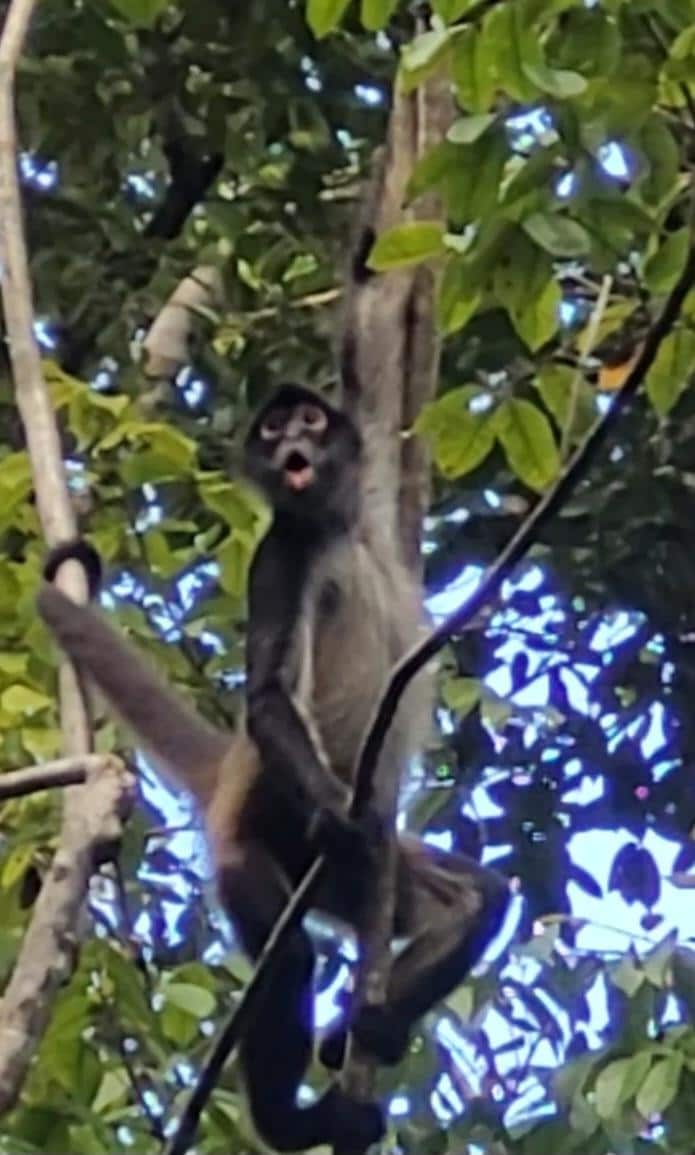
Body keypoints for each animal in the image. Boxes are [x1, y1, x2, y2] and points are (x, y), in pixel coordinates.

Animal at [37, 383, 510, 1152]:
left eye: (309, 420)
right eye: (272, 429)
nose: (292, 443)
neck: (334, 532)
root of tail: (231, 773)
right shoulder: (280, 556)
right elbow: (267, 695)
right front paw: (339, 817)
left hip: (360, 878)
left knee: (481, 899)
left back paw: (361, 1031)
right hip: (249, 848)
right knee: (288, 959)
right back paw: (290, 1122)